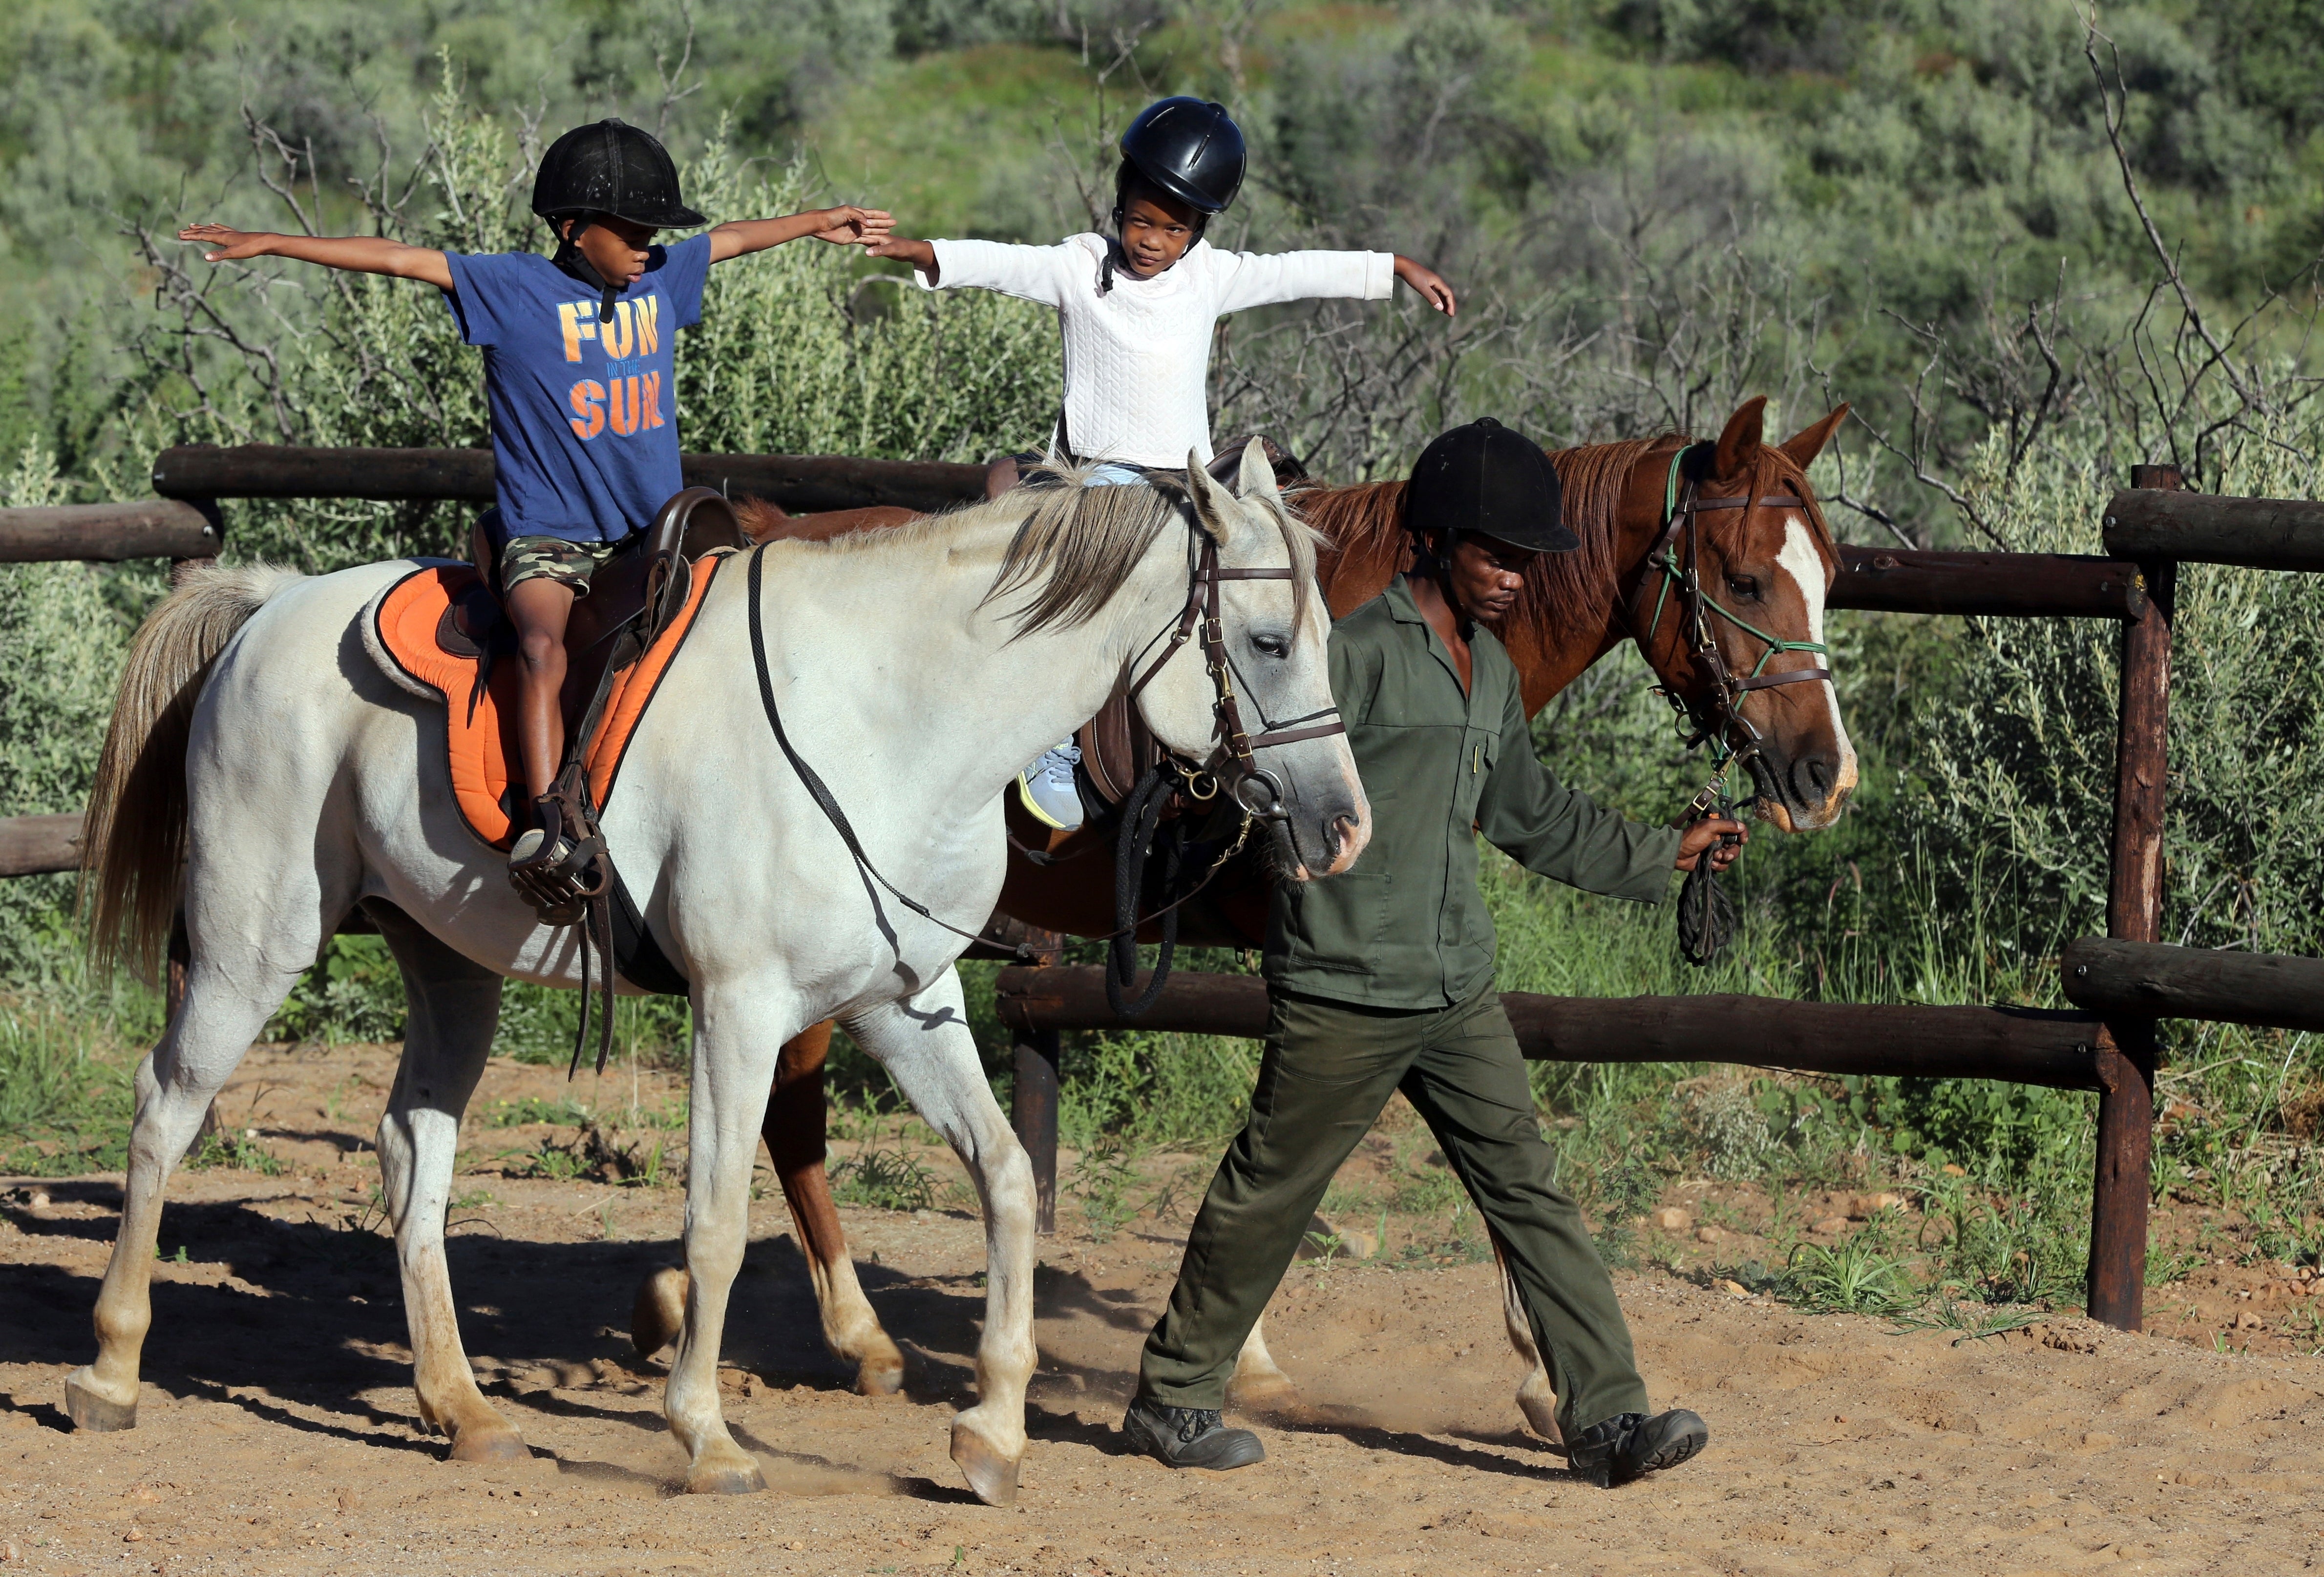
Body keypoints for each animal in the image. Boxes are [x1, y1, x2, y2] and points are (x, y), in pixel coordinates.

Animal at [66, 442, 1366, 1506]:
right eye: (1265, 643)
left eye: (1325, 640)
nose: (1344, 827)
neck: (885, 720)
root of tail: (264, 608)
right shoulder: (738, 1010)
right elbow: (720, 1221)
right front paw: (706, 1435)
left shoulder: (908, 1003)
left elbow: (1002, 1179)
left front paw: (992, 1429)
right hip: (254, 943)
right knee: (163, 1107)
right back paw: (112, 1369)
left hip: (448, 966)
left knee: (412, 1150)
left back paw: (463, 1408)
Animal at [637, 395, 1860, 1443]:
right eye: (1747, 578)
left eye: (1831, 576)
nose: (1824, 776)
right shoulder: (1311, 942)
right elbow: (1307, 1136)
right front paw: (1506, 1367)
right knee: (793, 1106)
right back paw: (843, 1332)